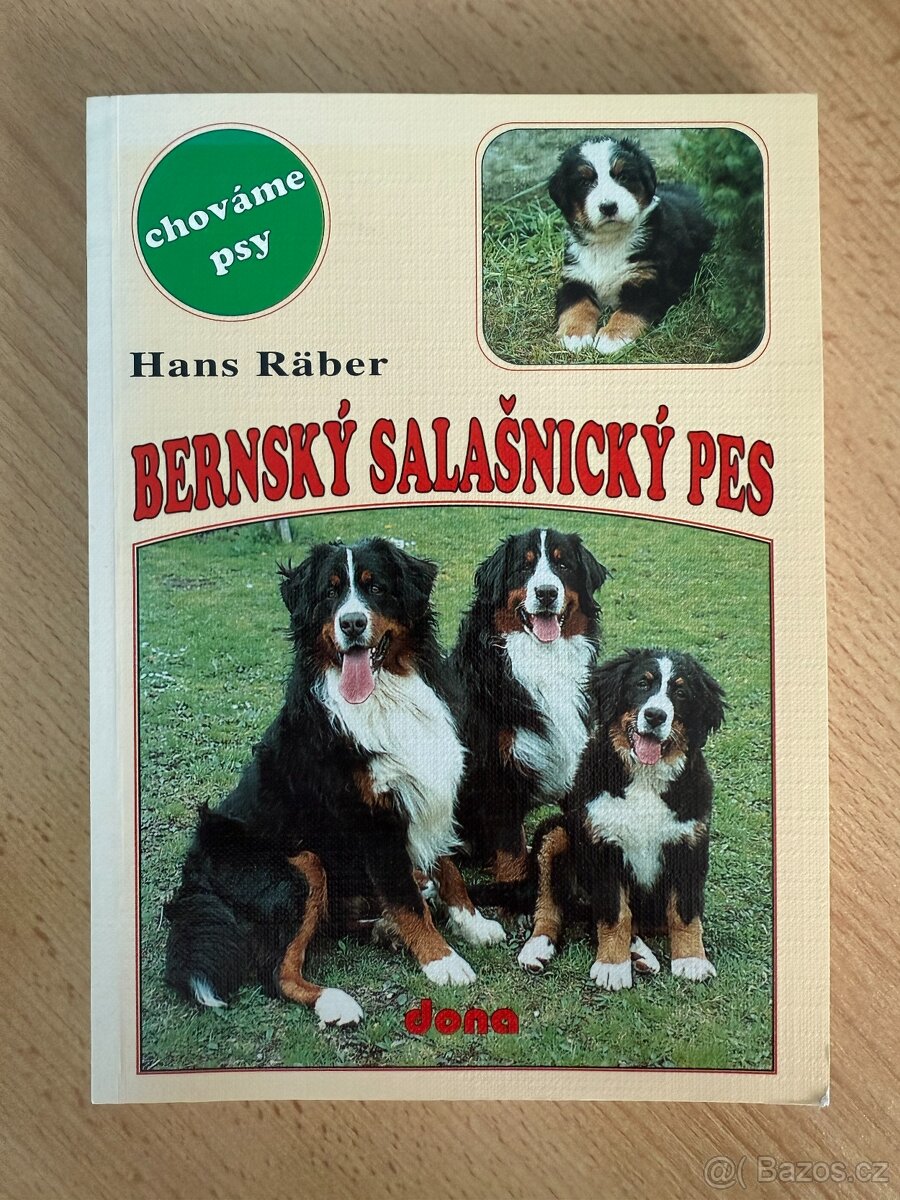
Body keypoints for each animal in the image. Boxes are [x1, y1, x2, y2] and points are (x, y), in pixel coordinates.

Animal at [165, 537, 504, 1028]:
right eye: (330, 592)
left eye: (375, 586)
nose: (352, 622)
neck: (386, 696)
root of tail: (194, 877)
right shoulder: (373, 820)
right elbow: (406, 899)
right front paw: (442, 961)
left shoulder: (426, 789)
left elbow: (449, 869)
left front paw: (472, 922)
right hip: (302, 864)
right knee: (277, 971)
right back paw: (336, 1000)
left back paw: (385, 930)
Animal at [451, 528, 609, 883]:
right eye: (524, 567)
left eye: (563, 565)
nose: (547, 593)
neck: (542, 661)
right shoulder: (496, 775)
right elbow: (512, 854)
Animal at [509, 648, 726, 988]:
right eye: (642, 684)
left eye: (681, 693)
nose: (655, 716)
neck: (645, 779)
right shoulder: (605, 847)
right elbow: (615, 914)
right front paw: (612, 965)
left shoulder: (689, 845)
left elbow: (685, 912)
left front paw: (691, 959)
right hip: (557, 831)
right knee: (550, 905)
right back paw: (537, 948)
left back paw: (641, 955)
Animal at [549, 137, 714, 354]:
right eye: (584, 182)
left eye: (624, 176)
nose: (608, 207)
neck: (610, 243)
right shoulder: (576, 277)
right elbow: (575, 305)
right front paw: (575, 334)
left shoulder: (651, 283)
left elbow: (628, 312)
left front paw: (612, 336)